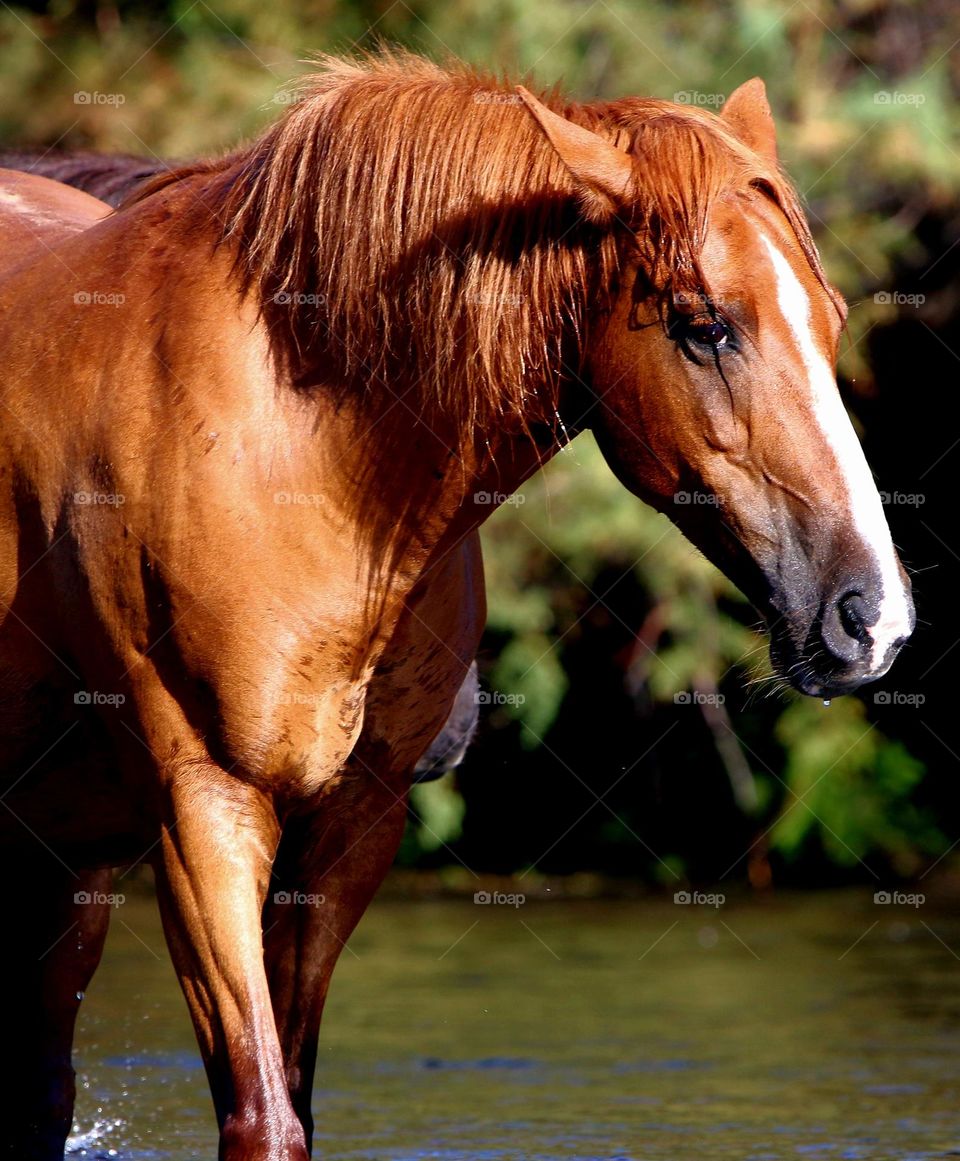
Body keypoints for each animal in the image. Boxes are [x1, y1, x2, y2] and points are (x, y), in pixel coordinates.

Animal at [0, 51, 913, 1160]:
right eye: (707, 328)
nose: (871, 617)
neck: (300, 451)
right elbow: (263, 1117)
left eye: (832, 320)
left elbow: (291, 1095)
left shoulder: (353, 824)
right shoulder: (204, 811)